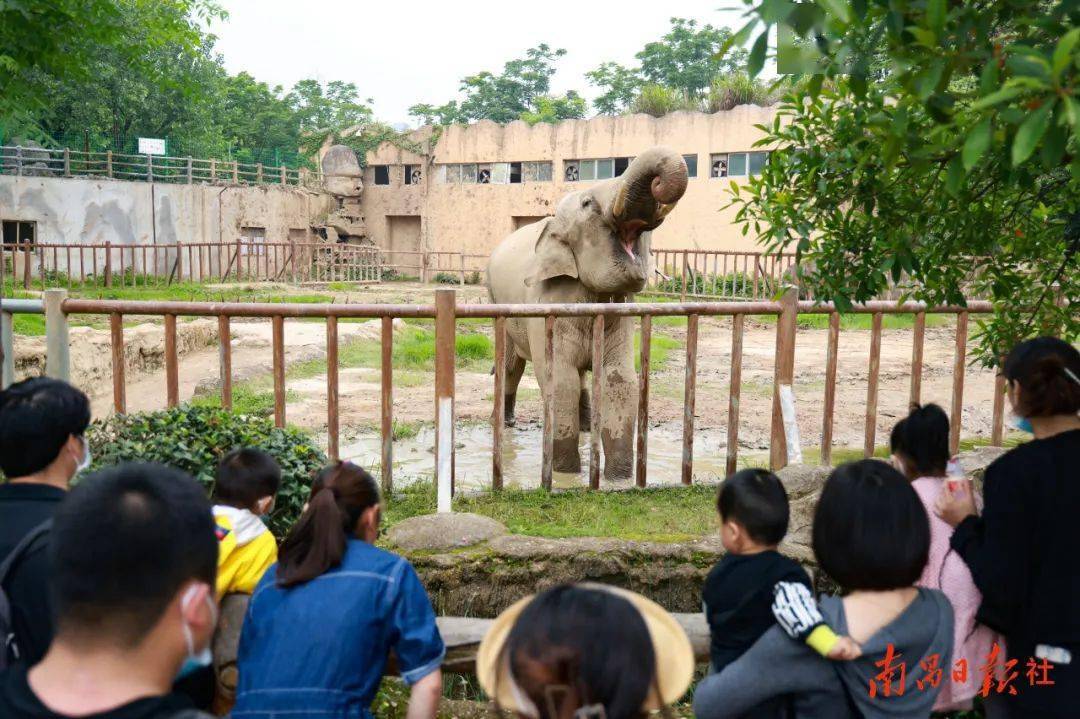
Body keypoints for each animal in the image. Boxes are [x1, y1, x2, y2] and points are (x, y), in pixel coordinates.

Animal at [486, 145, 686, 481]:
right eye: (587, 203)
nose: (657, 184)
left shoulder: (620, 314)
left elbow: (619, 379)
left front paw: (620, 479)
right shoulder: (547, 304)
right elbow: (559, 379)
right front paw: (565, 473)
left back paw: (583, 427)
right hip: (496, 302)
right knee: (511, 366)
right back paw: (503, 424)